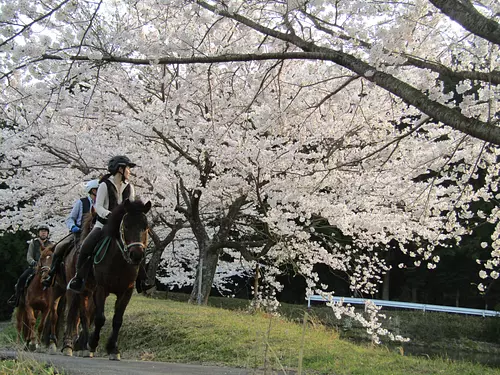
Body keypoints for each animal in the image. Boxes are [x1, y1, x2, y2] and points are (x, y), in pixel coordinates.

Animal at [67, 200, 152, 362]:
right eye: (126, 226)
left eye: (146, 227)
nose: (136, 255)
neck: (119, 261)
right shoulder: (101, 288)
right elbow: (100, 318)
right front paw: (92, 343)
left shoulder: (126, 291)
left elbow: (117, 320)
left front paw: (113, 349)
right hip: (84, 290)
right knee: (84, 316)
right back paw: (83, 346)